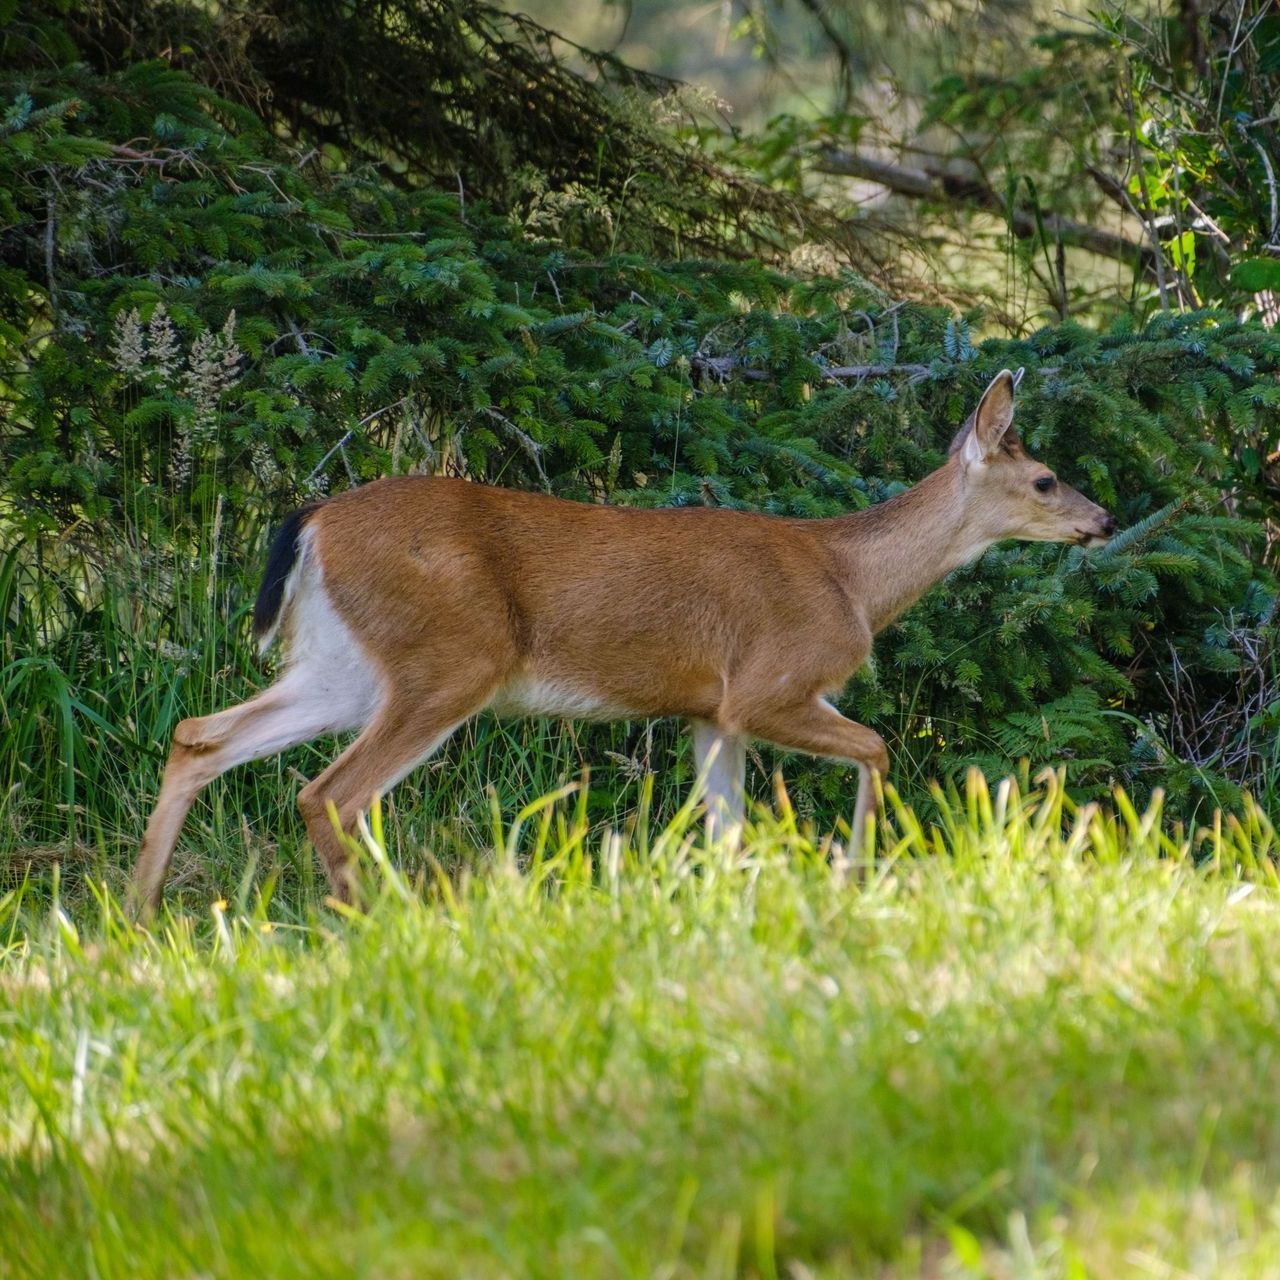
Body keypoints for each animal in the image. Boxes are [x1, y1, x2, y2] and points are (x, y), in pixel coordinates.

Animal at [130, 368, 1116, 911]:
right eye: (1045, 478)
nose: (1103, 521)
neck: (851, 581)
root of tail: (313, 522)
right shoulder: (768, 684)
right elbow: (874, 746)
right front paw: (858, 872)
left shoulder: (710, 713)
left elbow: (726, 830)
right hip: (450, 659)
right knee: (330, 792)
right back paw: (387, 920)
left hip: (345, 666)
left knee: (199, 735)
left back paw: (137, 913)